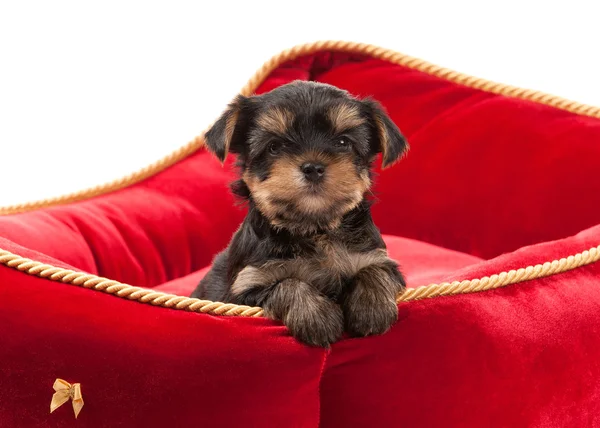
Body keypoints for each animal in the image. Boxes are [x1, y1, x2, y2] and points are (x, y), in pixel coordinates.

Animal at [192, 80, 408, 348]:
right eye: (274, 147)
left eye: (343, 143)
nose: (313, 167)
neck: (314, 229)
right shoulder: (245, 287)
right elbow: (288, 283)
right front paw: (317, 318)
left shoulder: (376, 257)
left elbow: (375, 270)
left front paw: (372, 308)